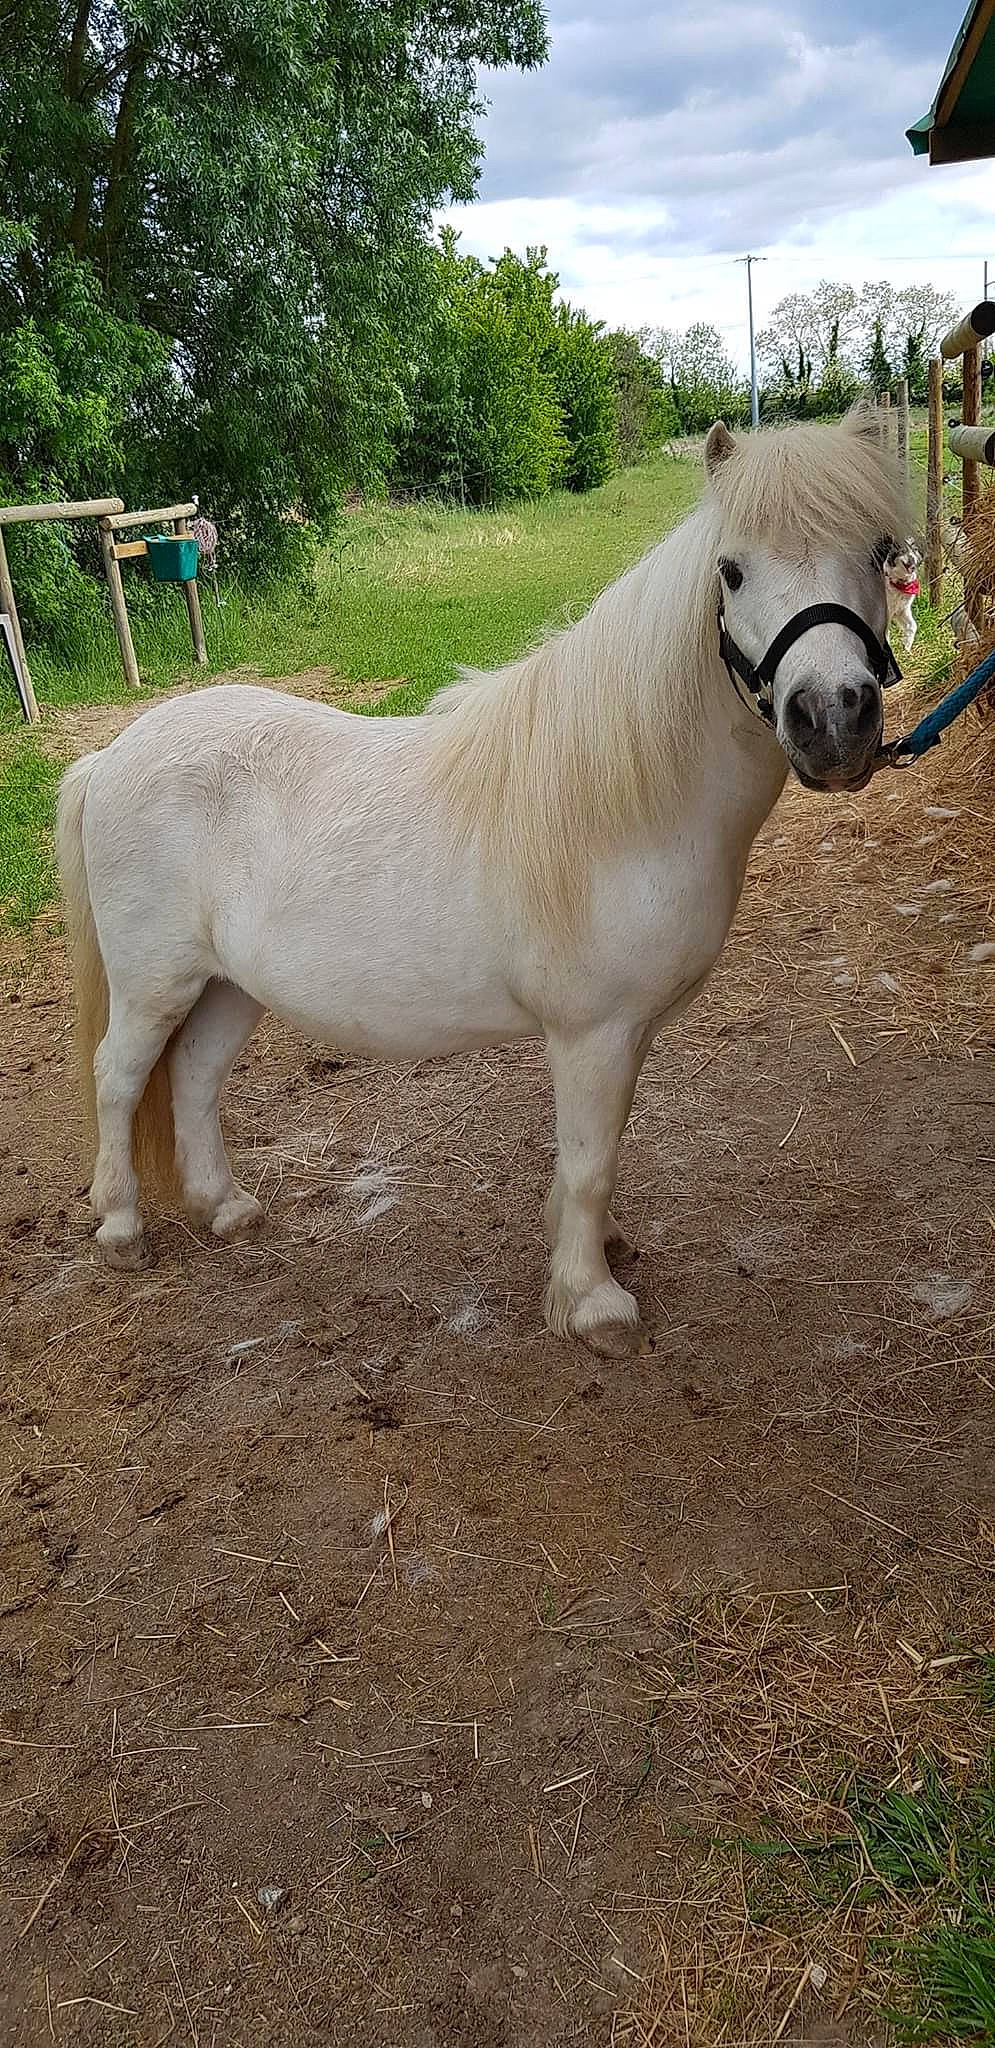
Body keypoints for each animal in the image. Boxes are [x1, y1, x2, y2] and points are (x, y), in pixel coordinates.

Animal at [57, 410, 907, 1357]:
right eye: (731, 569)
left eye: (878, 551)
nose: (832, 717)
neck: (621, 801)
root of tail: (112, 754)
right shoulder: (592, 1033)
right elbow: (589, 1162)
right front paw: (591, 1302)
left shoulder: (628, 1033)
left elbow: (596, 1155)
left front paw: (591, 1249)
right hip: (153, 984)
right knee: (117, 1078)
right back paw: (120, 1228)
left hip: (228, 985)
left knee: (196, 1078)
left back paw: (226, 1209)